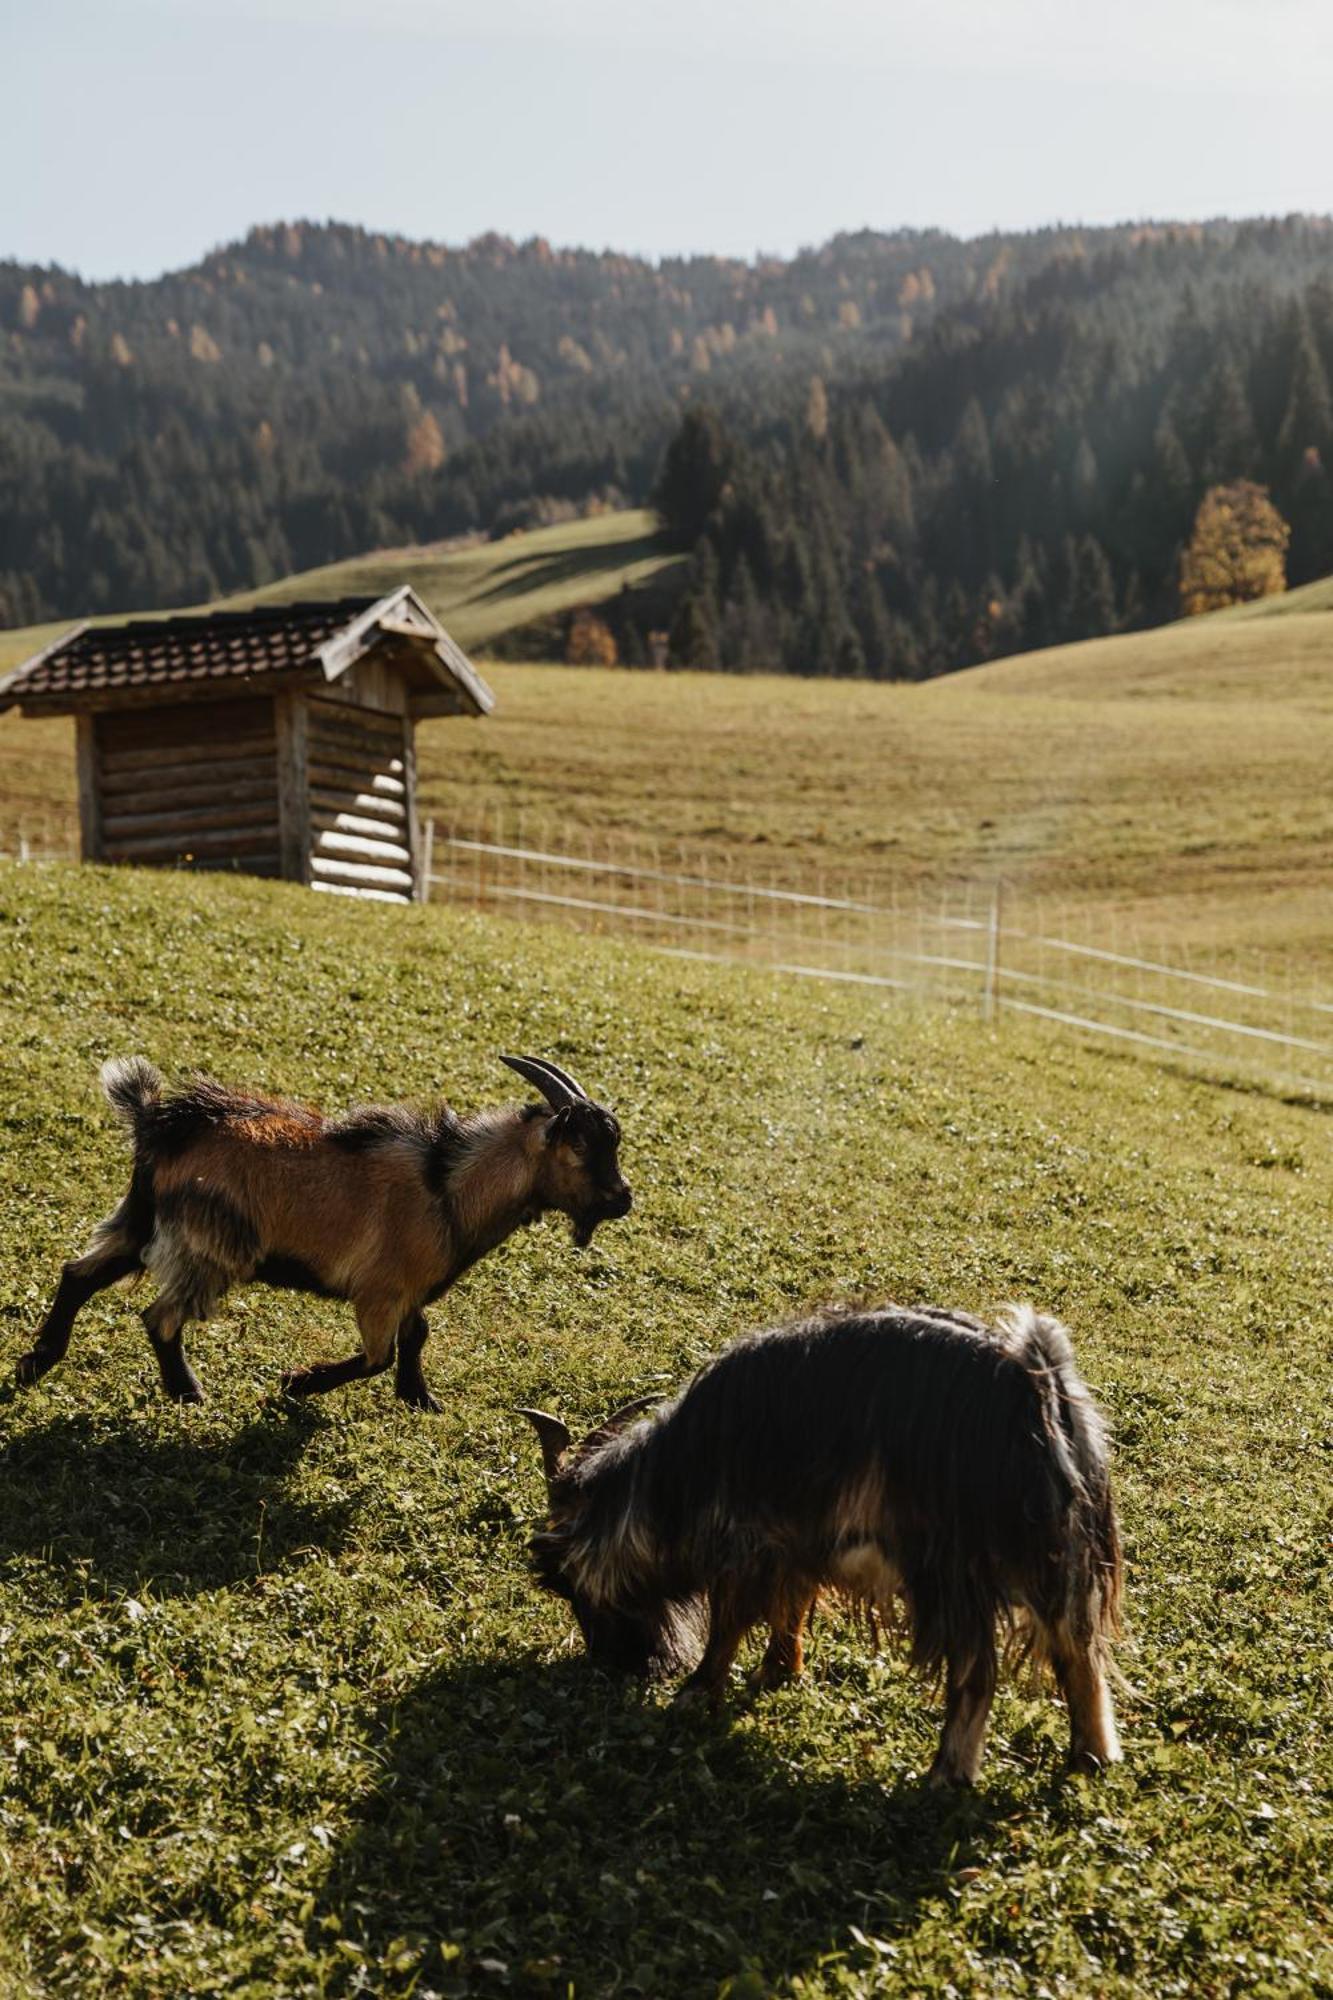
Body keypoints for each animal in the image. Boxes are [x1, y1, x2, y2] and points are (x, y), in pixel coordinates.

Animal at [15, 1056, 628, 1416]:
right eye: (579, 1145)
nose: (624, 1198)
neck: (447, 1185)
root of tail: (158, 1126)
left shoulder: (409, 1289)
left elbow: (418, 1336)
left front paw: (420, 1398)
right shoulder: (380, 1290)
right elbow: (378, 1355)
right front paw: (295, 1384)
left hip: (144, 1219)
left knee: (79, 1273)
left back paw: (36, 1361)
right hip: (211, 1243)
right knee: (160, 1317)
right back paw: (189, 1392)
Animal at [520, 1304, 1120, 1792]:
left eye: (566, 1585)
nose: (613, 1665)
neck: (670, 1478)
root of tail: (1038, 1390)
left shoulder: (744, 1542)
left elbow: (728, 1622)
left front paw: (695, 1693)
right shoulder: (798, 1545)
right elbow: (791, 1607)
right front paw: (778, 1671)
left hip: (953, 1570)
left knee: (977, 1670)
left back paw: (946, 1773)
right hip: (1061, 1561)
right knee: (1079, 1650)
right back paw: (1090, 1754)